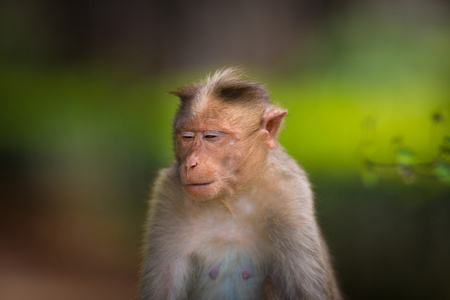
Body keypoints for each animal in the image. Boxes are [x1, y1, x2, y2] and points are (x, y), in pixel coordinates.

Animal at [141, 68, 342, 300]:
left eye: (211, 136)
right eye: (187, 136)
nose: (191, 163)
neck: (231, 200)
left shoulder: (291, 195)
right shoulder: (167, 193)